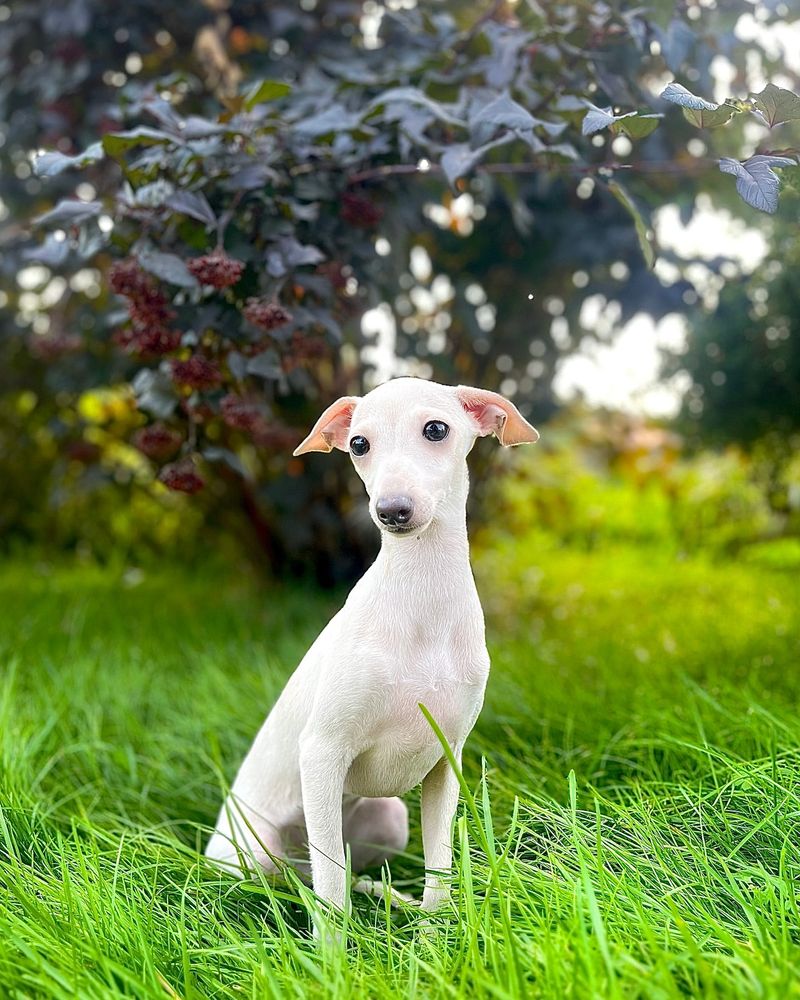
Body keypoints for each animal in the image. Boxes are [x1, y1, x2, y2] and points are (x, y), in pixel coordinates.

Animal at [208, 376, 536, 916]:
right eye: (359, 444)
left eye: (436, 429)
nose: (392, 511)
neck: (423, 596)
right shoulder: (321, 753)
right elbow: (331, 897)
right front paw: (332, 944)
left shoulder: (446, 761)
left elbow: (439, 874)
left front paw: (433, 933)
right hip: (252, 853)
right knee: (307, 878)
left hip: (387, 821)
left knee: (341, 873)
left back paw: (385, 894)